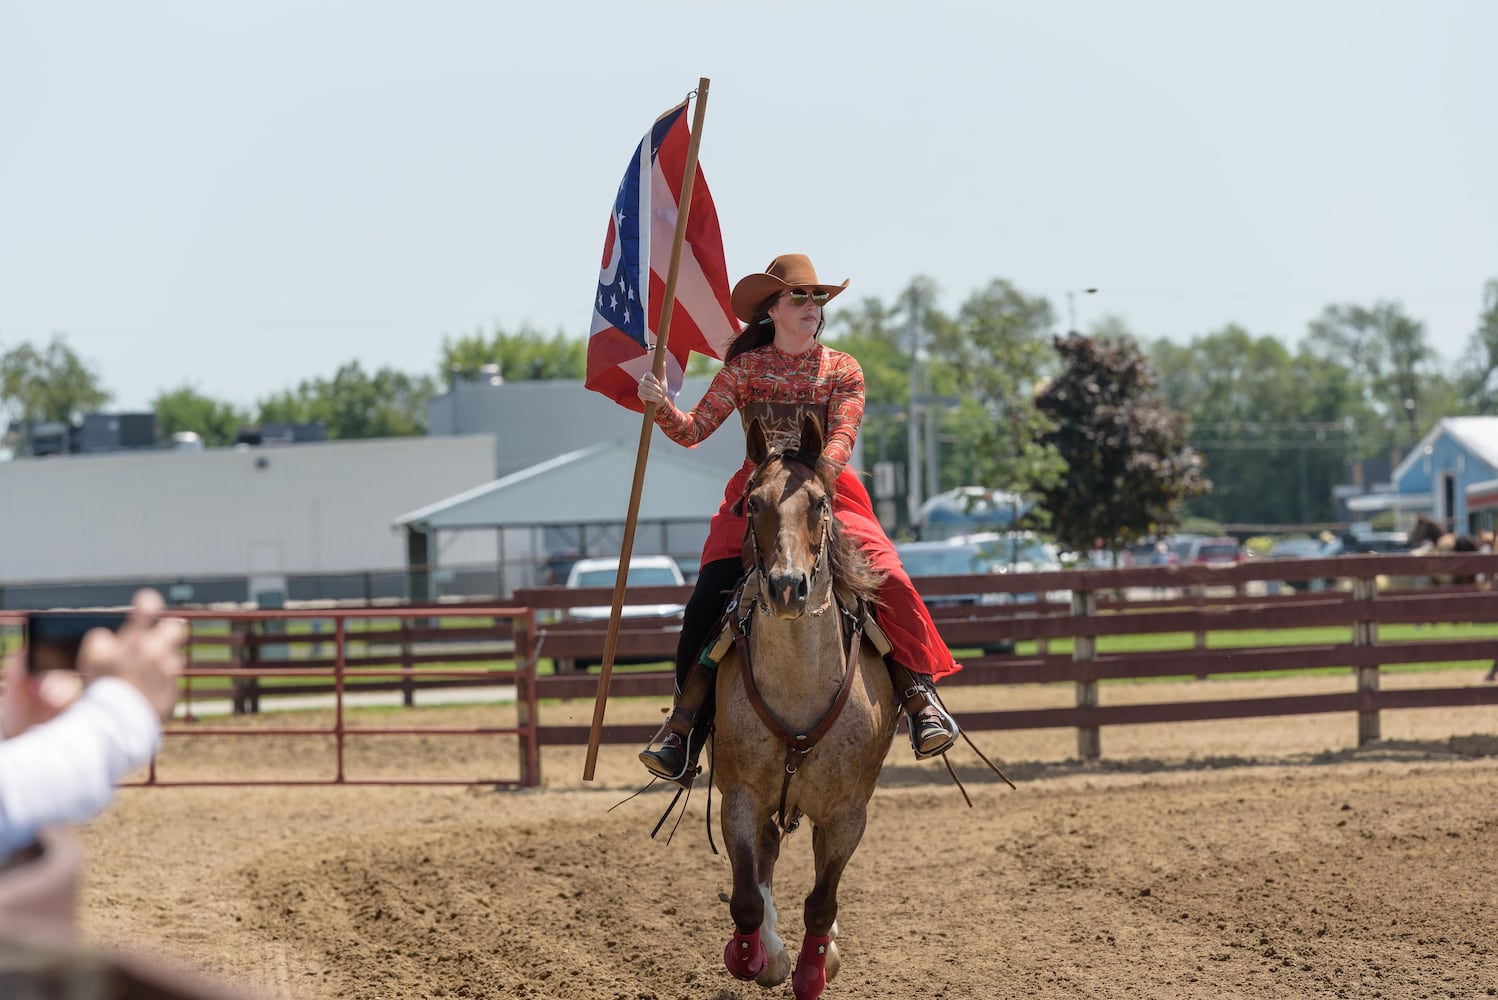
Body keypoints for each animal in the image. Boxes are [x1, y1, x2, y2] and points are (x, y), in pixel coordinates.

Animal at [713, 410, 898, 994]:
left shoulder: (847, 813)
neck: (799, 684)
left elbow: (821, 900)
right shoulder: (740, 797)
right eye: (752, 503)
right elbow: (747, 895)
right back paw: (770, 952)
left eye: (819, 502)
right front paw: (753, 955)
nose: (787, 587)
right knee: (767, 854)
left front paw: (816, 968)